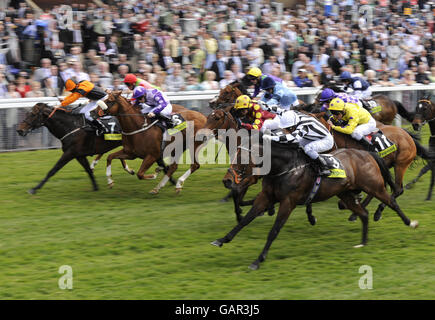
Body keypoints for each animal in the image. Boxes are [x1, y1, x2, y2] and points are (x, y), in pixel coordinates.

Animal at [211, 136, 418, 270]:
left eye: (242, 158)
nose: (227, 181)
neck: (285, 168)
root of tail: (367, 154)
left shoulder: (288, 202)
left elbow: (274, 231)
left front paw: (258, 260)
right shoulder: (266, 197)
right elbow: (245, 221)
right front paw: (221, 240)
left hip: (374, 187)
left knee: (392, 201)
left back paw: (410, 223)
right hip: (345, 194)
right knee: (363, 214)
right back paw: (363, 243)